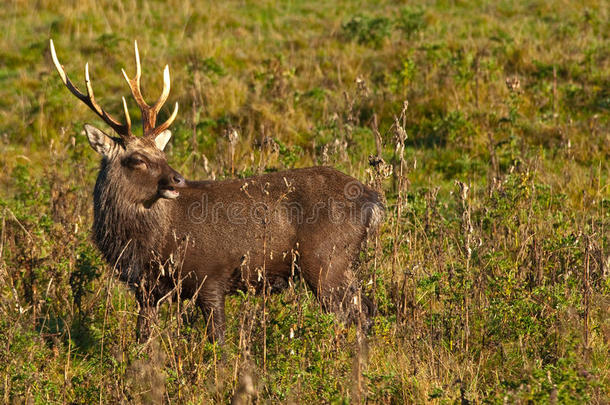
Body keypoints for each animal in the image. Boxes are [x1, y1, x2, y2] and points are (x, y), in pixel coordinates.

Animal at [50, 39, 382, 342]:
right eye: (137, 159)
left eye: (162, 153)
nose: (178, 179)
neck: (150, 242)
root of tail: (373, 201)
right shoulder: (146, 290)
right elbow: (143, 338)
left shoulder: (210, 273)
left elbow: (218, 339)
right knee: (367, 307)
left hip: (327, 259)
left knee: (356, 313)